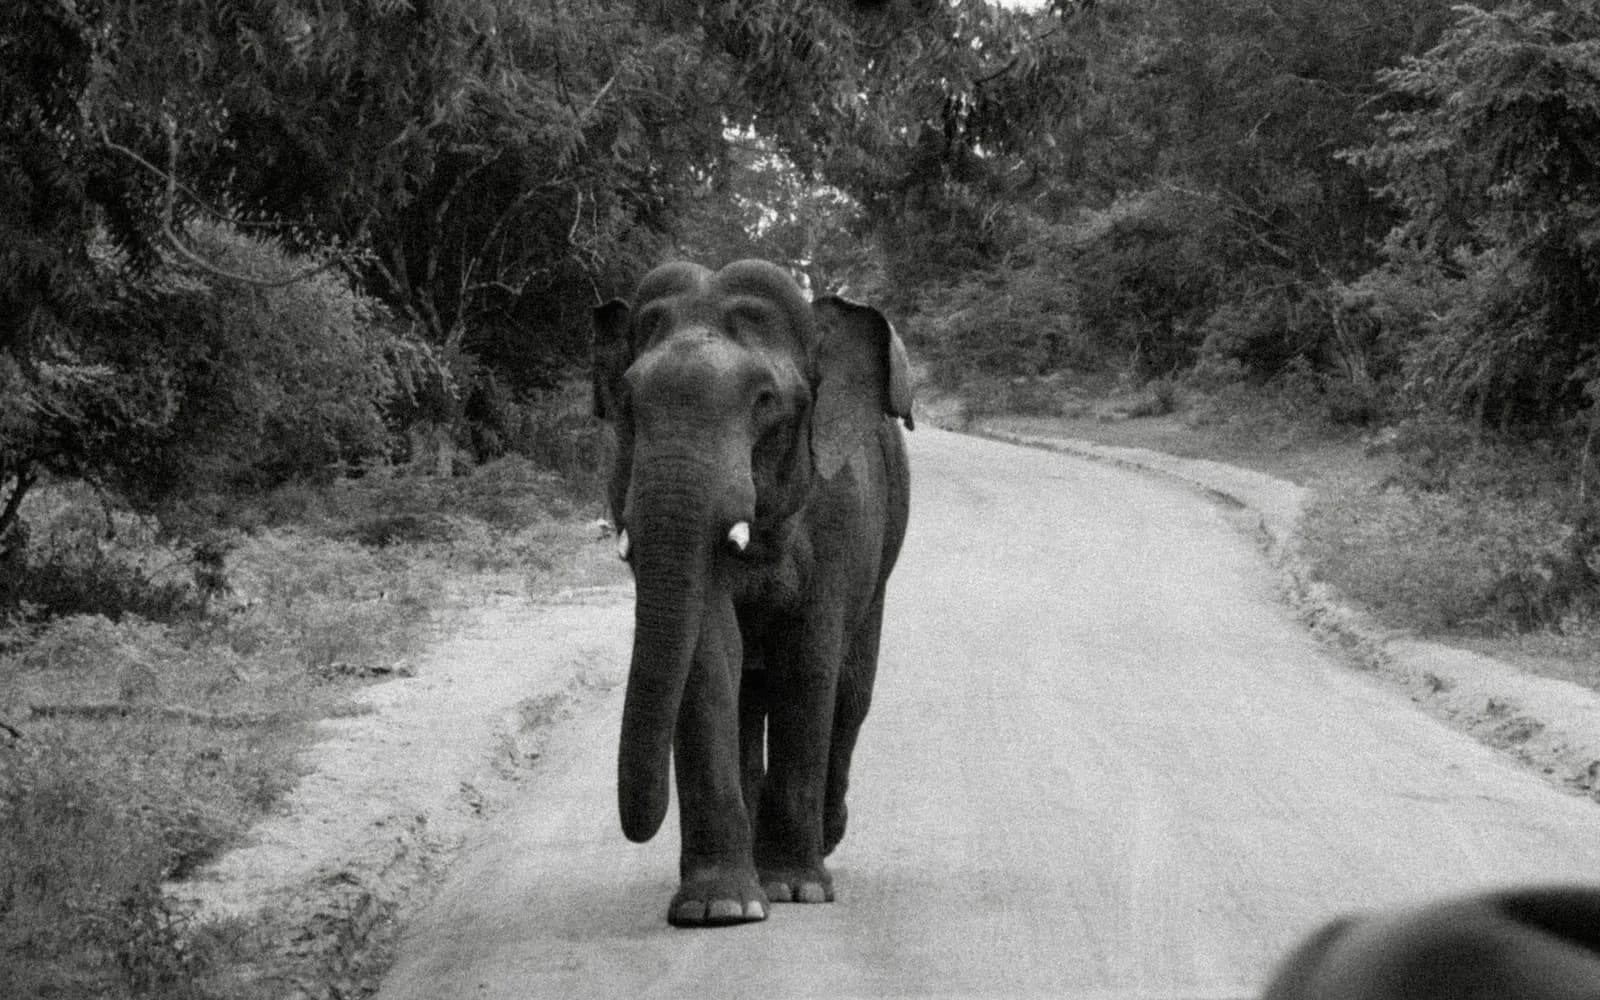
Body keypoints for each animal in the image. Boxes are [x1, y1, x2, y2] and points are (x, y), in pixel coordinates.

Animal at [591, 259, 913, 927]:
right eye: (628, 402)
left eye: (765, 401)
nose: (639, 826)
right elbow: (709, 657)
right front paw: (720, 908)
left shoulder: (841, 516)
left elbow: (808, 662)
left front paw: (796, 889)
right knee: (748, 692)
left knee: (851, 691)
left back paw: (823, 839)